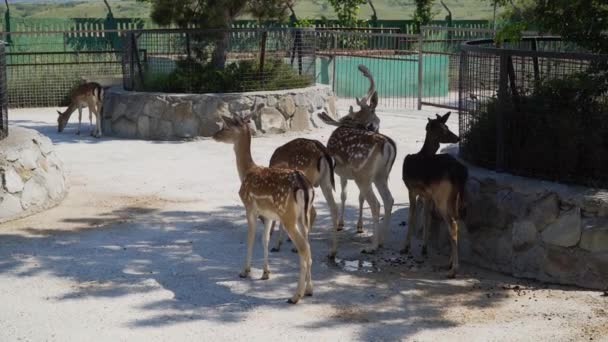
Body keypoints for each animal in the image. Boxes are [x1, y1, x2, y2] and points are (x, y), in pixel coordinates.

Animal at [213, 113, 316, 304]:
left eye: (226, 126)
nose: (214, 135)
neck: (246, 172)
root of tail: (304, 185)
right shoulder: (268, 215)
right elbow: (265, 239)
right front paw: (266, 273)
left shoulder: (249, 207)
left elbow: (251, 238)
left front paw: (245, 271)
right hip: (302, 216)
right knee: (308, 245)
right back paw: (309, 289)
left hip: (288, 215)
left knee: (303, 248)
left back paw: (295, 296)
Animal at [402, 111, 468, 278]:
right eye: (444, 128)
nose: (457, 138)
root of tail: (460, 173)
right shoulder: (427, 195)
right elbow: (426, 217)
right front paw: (424, 248)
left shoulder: (411, 189)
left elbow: (411, 217)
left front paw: (405, 247)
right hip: (454, 197)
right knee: (457, 221)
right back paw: (449, 263)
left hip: (442, 196)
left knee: (452, 224)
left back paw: (454, 269)